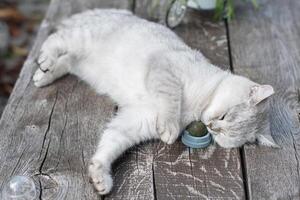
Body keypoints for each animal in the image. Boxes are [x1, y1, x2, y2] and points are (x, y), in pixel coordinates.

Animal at [32, 8, 276, 195]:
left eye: (224, 135)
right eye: (224, 117)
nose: (211, 126)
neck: (196, 108)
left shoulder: (135, 121)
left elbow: (110, 144)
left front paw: (100, 176)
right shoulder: (164, 70)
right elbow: (171, 99)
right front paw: (170, 128)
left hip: (81, 63)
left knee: (67, 60)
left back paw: (43, 75)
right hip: (83, 37)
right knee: (56, 39)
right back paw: (44, 62)